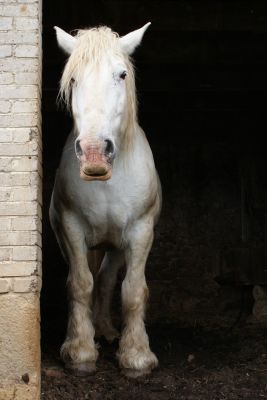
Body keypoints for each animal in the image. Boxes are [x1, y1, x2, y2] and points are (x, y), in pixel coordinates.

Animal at [50, 22, 162, 378]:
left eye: (122, 74)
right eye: (73, 79)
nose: (94, 153)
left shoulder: (141, 231)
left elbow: (132, 291)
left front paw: (137, 355)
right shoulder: (72, 229)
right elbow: (80, 284)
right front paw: (80, 351)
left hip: (115, 247)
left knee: (108, 279)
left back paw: (107, 330)